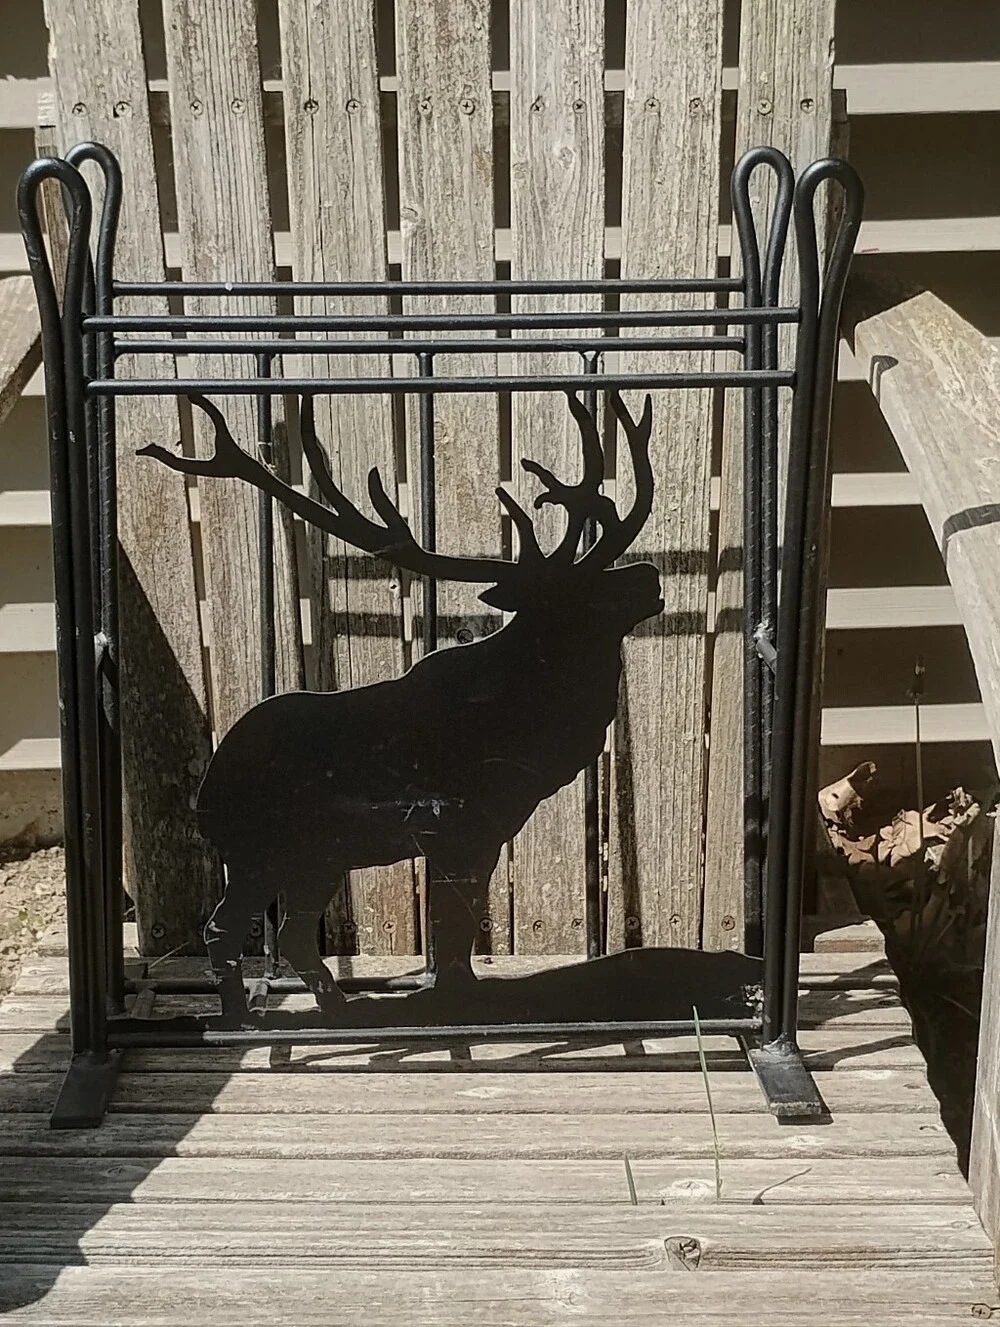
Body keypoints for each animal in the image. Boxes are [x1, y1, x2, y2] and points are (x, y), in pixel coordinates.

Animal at [140, 389, 661, 1023]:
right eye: (576, 592)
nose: (649, 576)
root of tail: (206, 795)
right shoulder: (458, 828)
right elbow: (454, 927)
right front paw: (460, 1000)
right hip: (256, 851)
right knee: (225, 928)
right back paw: (241, 1018)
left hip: (318, 857)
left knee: (292, 932)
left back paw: (338, 1008)